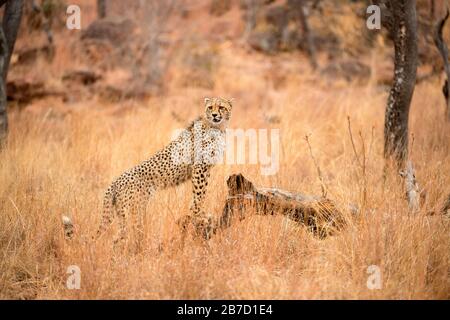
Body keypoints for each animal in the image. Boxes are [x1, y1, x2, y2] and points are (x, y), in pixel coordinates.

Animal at [96, 96, 234, 241]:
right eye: (210, 107)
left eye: (221, 107)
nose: (214, 115)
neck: (217, 127)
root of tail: (115, 182)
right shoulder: (199, 167)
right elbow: (199, 193)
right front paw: (199, 215)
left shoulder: (205, 169)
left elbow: (200, 193)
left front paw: (198, 213)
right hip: (134, 211)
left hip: (127, 213)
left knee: (118, 237)